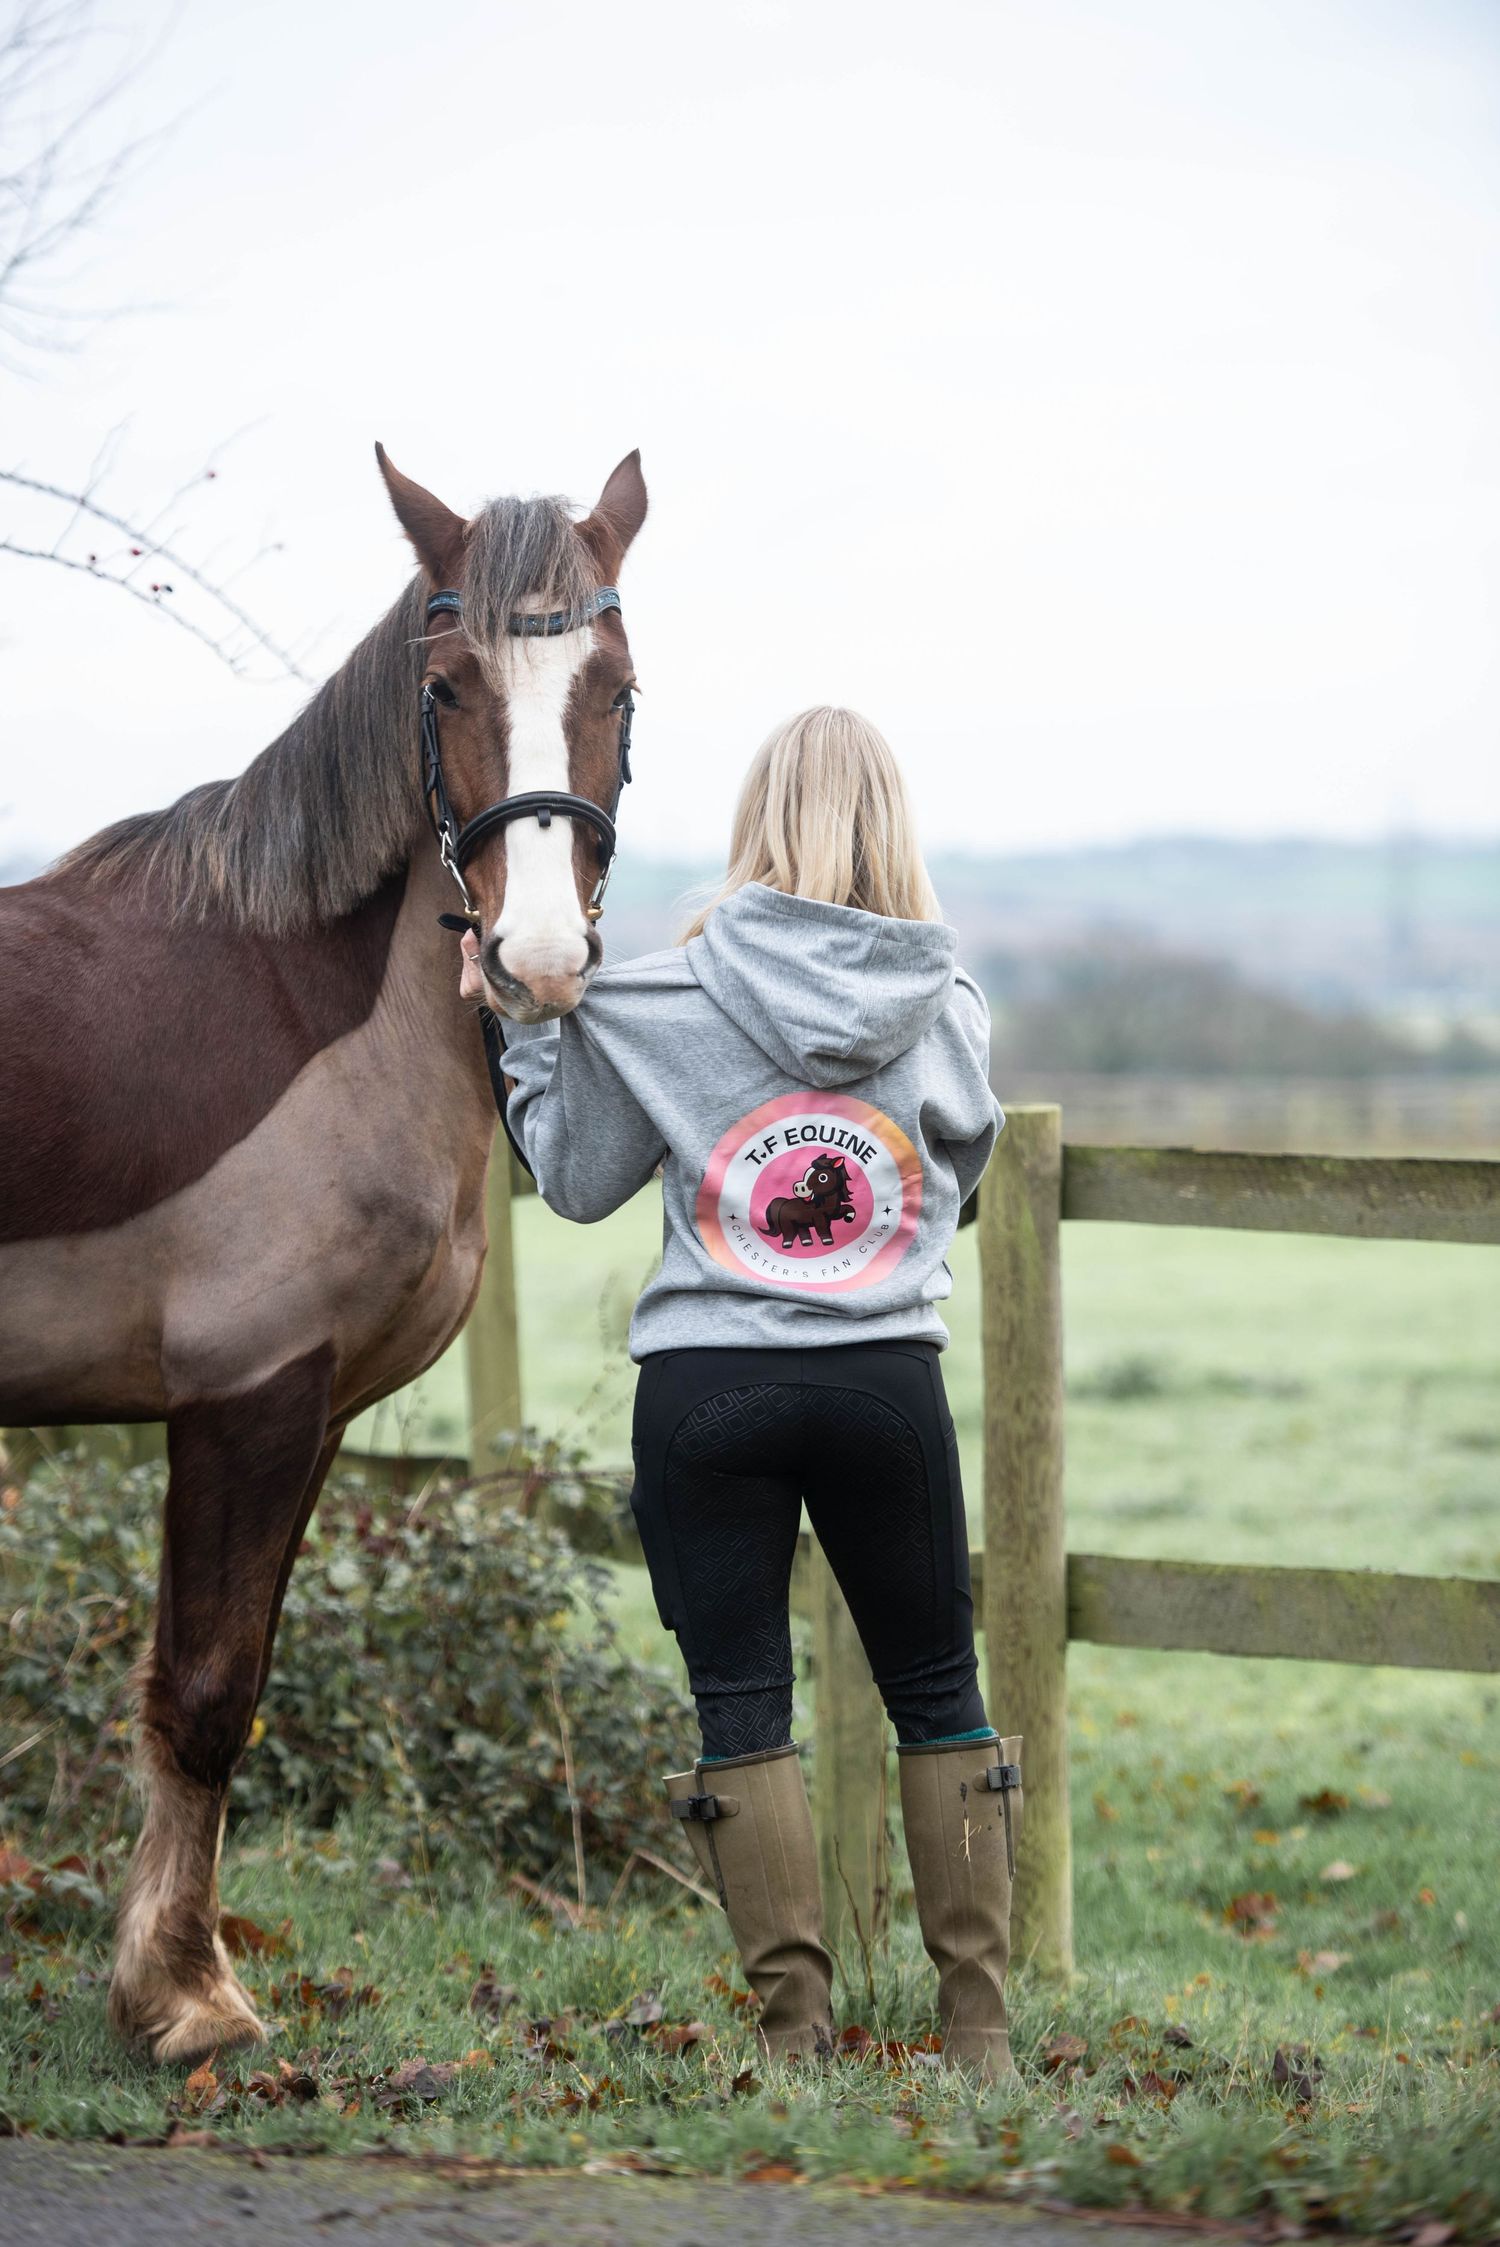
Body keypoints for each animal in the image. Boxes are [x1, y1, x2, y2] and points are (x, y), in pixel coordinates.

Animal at [0, 444, 647, 2065]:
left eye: (614, 687)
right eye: (447, 688)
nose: (539, 960)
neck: (306, 999)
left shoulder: (315, 1416)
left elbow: (233, 1682)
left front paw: (174, 1979)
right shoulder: (247, 1397)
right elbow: (204, 1692)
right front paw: (184, 1998)